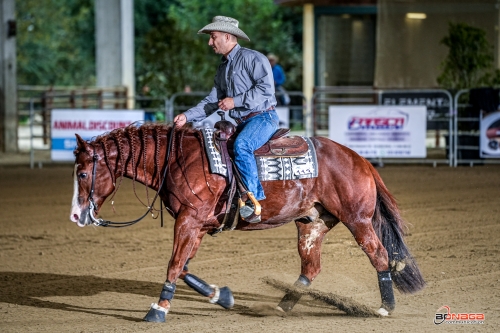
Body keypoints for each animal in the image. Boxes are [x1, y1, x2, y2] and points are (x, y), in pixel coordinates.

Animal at [68, 122, 424, 322]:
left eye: (83, 173)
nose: (75, 215)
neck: (179, 159)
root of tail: (361, 160)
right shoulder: (195, 226)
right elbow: (183, 267)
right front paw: (221, 296)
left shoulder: (188, 222)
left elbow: (174, 265)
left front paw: (158, 310)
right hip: (312, 223)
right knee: (310, 268)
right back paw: (282, 306)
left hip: (358, 219)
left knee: (379, 255)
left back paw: (385, 308)